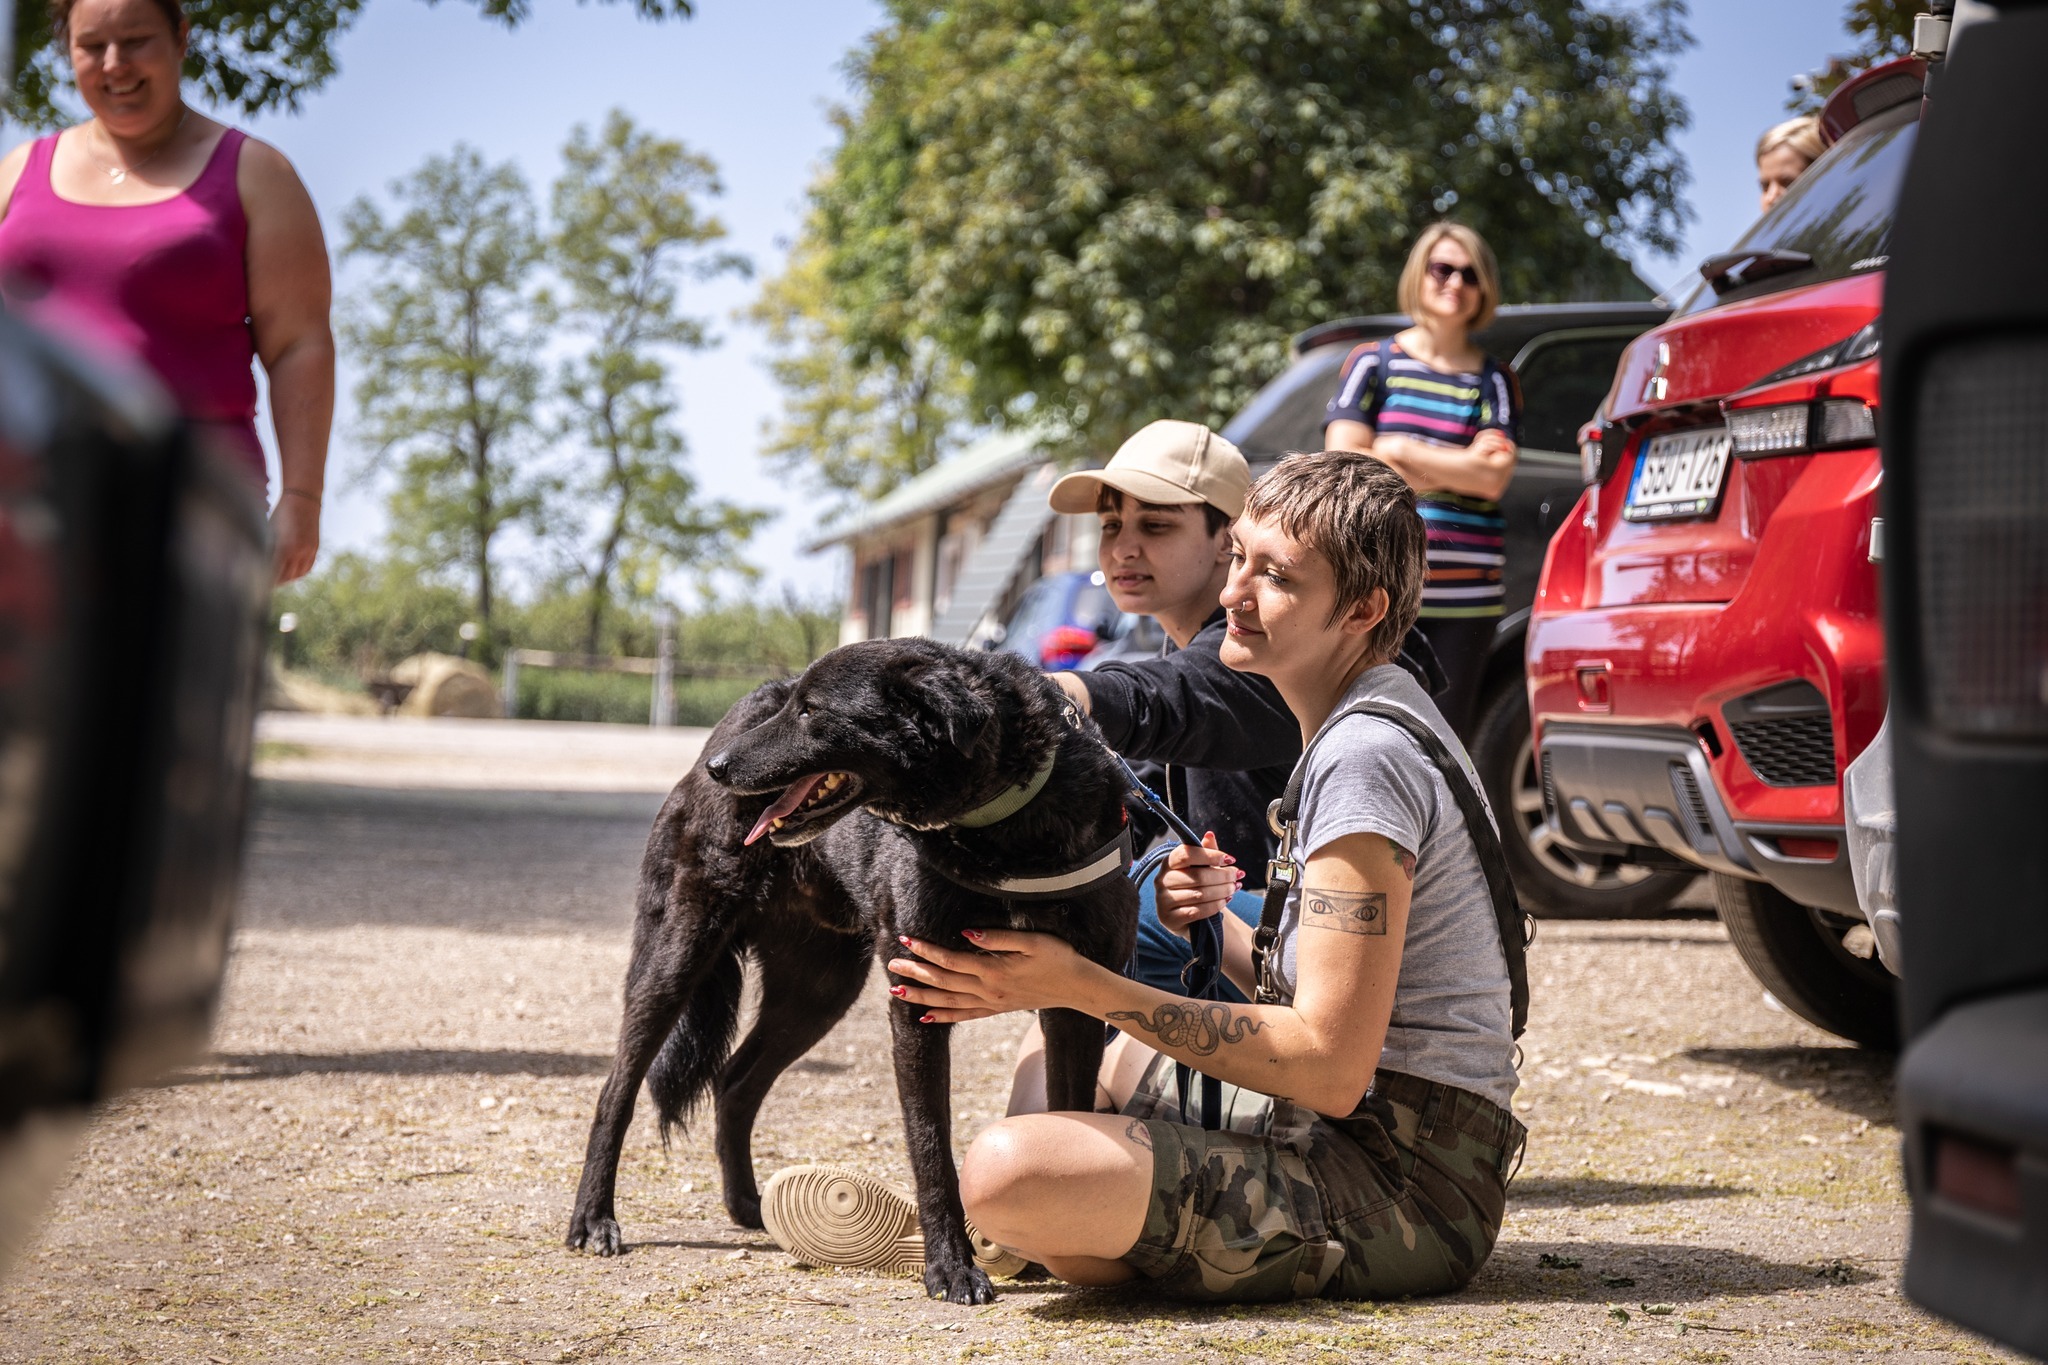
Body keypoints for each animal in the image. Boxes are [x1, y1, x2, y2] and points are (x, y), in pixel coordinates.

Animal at [565, 642, 1138, 1301]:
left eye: (811, 710)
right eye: (795, 704)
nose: (718, 768)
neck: (1002, 830)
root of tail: (730, 721)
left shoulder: (1073, 1003)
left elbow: (1067, 1116)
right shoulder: (916, 1002)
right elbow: (930, 1143)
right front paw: (951, 1267)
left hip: (817, 993)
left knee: (735, 1082)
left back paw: (747, 1206)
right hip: (677, 953)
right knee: (618, 1087)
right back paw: (594, 1218)